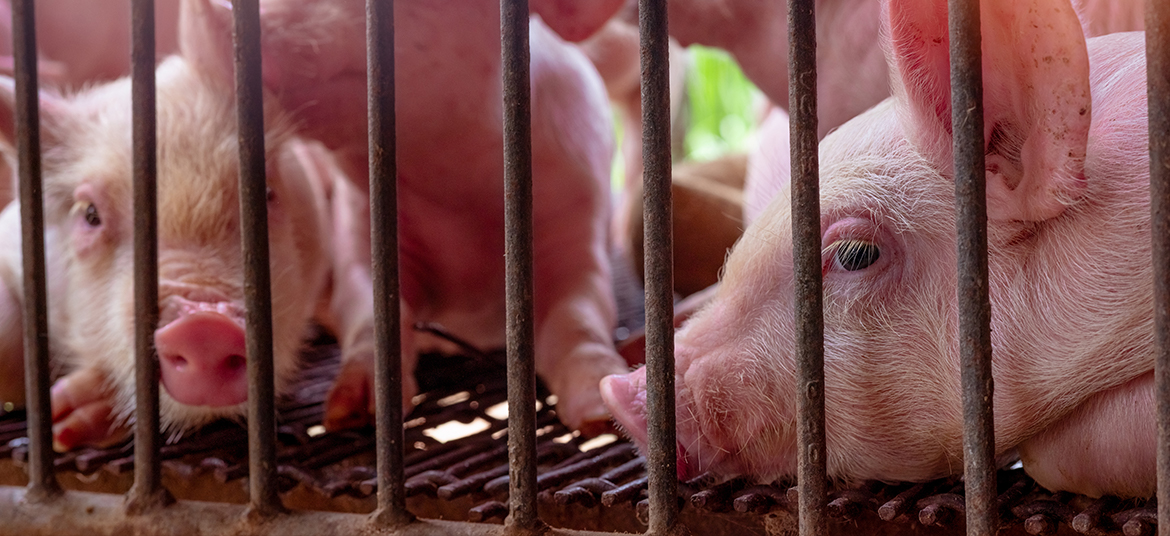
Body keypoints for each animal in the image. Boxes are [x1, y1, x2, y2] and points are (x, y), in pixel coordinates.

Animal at [184, 0, 631, 435]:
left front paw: (598, 414)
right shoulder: (360, 230)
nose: (219, 8)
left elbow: (577, 318)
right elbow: (376, 315)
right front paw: (351, 412)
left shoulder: (579, 226)